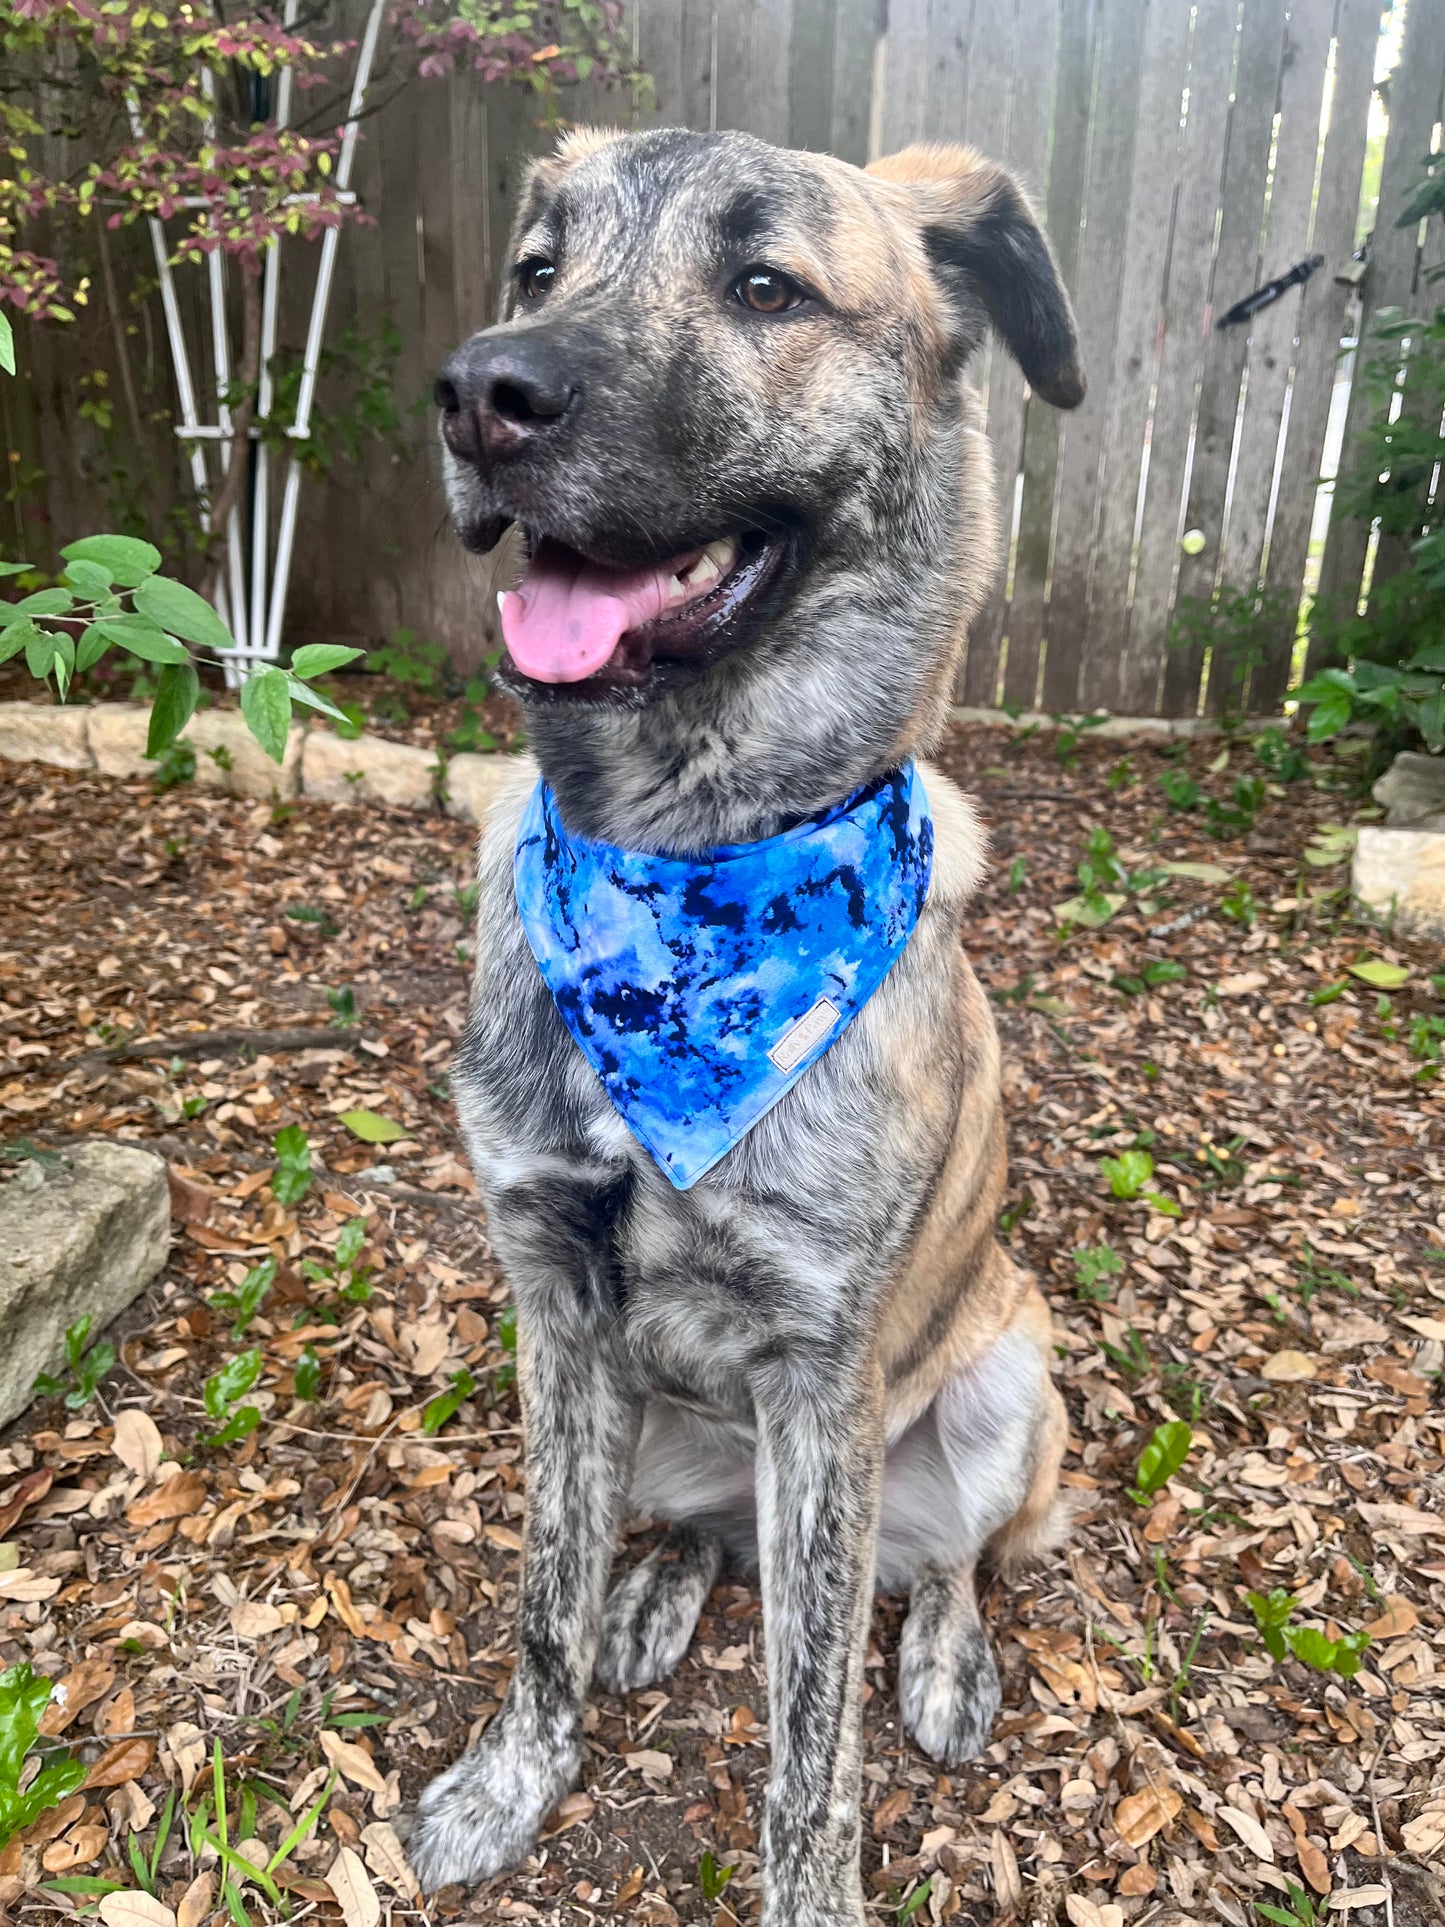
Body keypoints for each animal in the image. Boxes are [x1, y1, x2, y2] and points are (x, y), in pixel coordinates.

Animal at [408, 128, 1086, 1919]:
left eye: (767, 286)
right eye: (539, 268)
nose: (480, 394)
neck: (678, 878)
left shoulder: (819, 1377)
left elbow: (809, 1723)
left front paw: (811, 1885)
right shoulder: (555, 1306)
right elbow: (543, 1594)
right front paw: (514, 1777)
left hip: (1005, 1387)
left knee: (947, 1564)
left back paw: (947, 1655)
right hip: (659, 1429)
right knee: (702, 1535)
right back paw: (659, 1587)